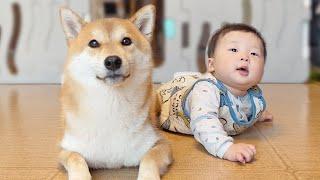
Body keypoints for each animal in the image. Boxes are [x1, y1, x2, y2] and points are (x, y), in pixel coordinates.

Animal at [57, 4, 172, 180]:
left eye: (126, 41)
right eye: (93, 43)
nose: (112, 61)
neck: (111, 104)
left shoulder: (160, 143)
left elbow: (149, 159)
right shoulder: (66, 149)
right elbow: (76, 158)